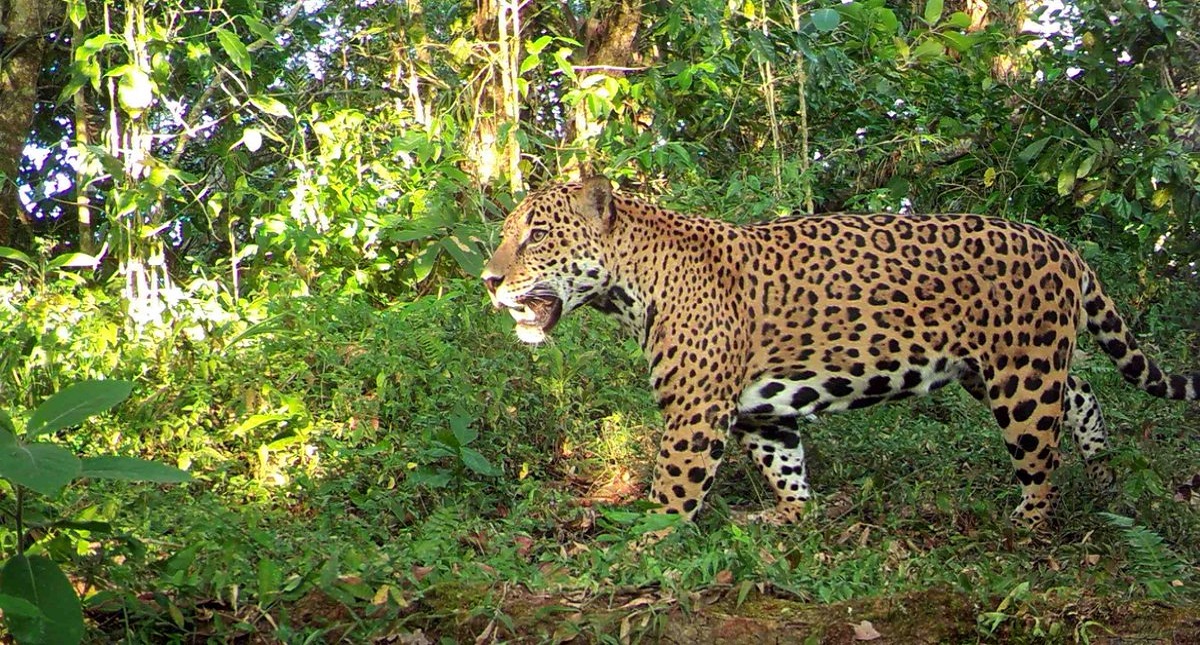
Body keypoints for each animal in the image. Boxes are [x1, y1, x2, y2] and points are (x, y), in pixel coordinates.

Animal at [482, 176, 1200, 529]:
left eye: (536, 235)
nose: (488, 280)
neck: (630, 285)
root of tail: (1061, 245)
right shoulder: (762, 409)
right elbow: (785, 466)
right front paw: (792, 516)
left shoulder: (696, 412)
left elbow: (675, 489)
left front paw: (643, 542)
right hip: (1000, 365)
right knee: (1082, 393)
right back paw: (1105, 475)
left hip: (1019, 376)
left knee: (1040, 452)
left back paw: (1030, 522)